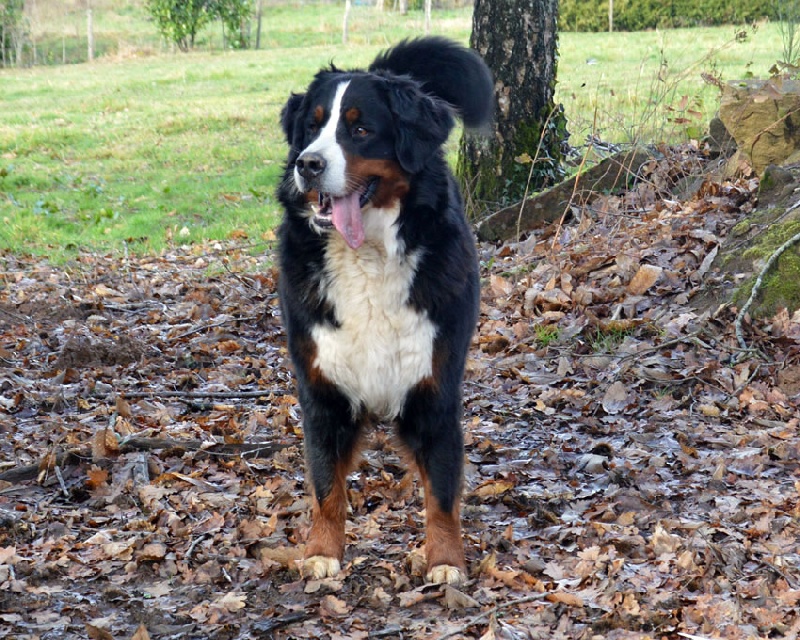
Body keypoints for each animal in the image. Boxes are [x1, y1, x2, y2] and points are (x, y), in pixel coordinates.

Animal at [278, 35, 496, 584]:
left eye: (360, 129)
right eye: (311, 127)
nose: (308, 164)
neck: (368, 258)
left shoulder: (434, 390)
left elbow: (442, 492)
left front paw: (445, 559)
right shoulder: (322, 391)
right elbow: (326, 486)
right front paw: (322, 552)